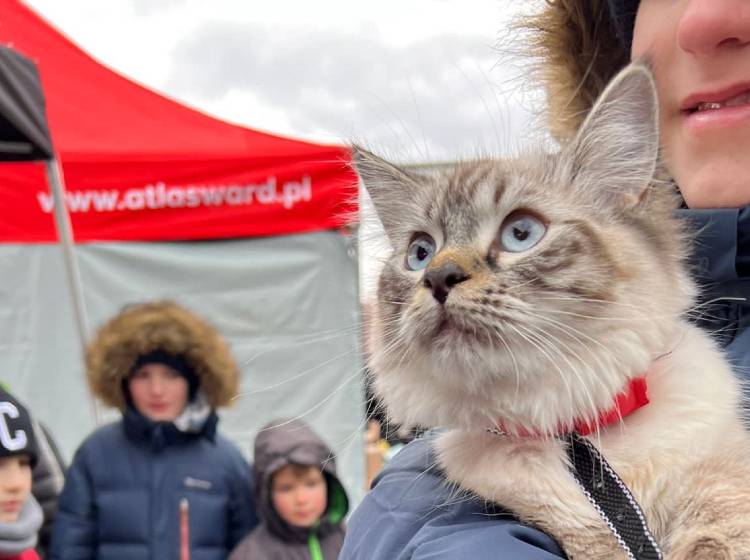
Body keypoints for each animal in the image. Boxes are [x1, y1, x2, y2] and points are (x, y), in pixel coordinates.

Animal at [356, 63, 750, 556]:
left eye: (520, 233)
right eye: (420, 253)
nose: (439, 277)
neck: (573, 429)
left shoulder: (720, 483)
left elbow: (713, 534)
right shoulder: (582, 536)